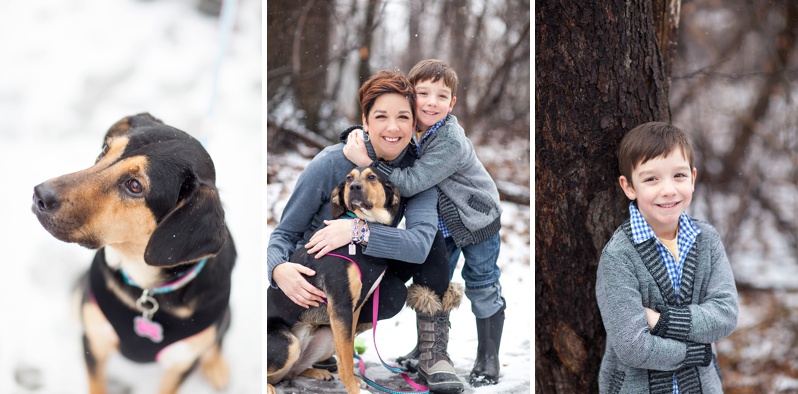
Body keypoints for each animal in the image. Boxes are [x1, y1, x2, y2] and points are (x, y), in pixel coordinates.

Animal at [32, 112, 238, 392]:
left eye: (134, 186)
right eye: (105, 150)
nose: (39, 194)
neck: (145, 286)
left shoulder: (181, 364)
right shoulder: (95, 343)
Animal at [268, 167, 404, 394]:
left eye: (372, 177)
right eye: (349, 178)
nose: (354, 187)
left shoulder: (352, 309)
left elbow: (347, 351)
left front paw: (355, 380)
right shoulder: (340, 306)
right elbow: (347, 358)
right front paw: (354, 388)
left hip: (328, 337)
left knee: (292, 372)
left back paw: (317, 372)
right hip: (289, 344)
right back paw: (269, 386)